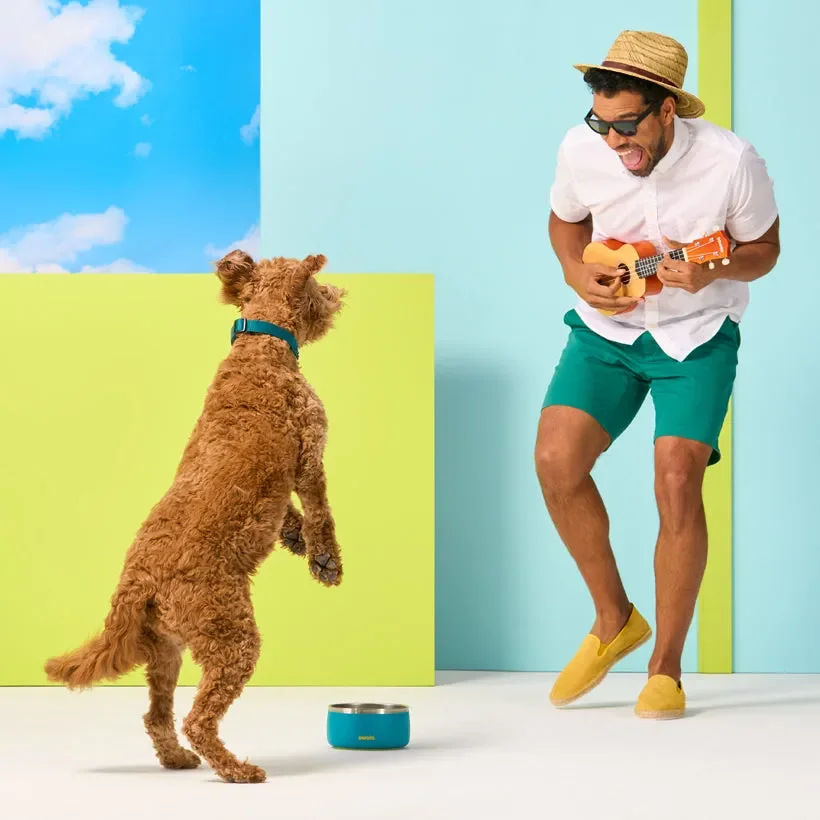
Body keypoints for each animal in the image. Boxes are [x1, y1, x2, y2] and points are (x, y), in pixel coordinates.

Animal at [44, 248, 346, 780]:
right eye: (318, 285)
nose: (339, 294)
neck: (261, 343)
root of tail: (136, 582)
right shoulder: (309, 449)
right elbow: (318, 511)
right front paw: (323, 560)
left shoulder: (281, 479)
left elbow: (290, 513)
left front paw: (293, 539)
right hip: (231, 636)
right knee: (198, 718)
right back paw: (235, 768)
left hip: (166, 647)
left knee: (156, 715)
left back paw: (176, 758)